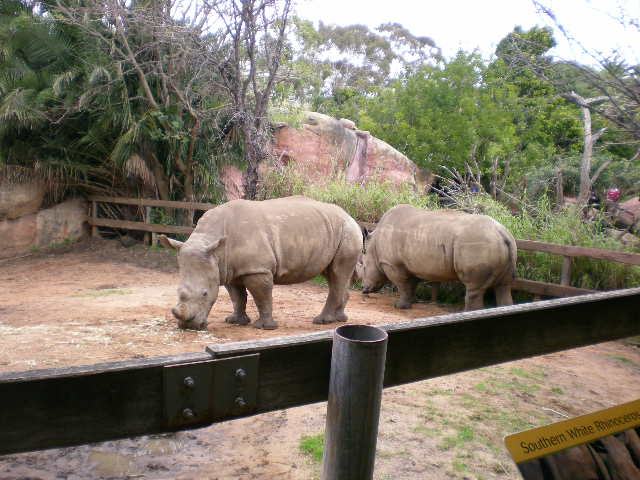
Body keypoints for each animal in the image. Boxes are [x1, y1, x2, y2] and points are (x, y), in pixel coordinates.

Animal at [160, 196, 363, 330]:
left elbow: (262, 297)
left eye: (204, 294)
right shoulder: (228, 269)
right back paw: (340, 319)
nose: (188, 326)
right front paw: (235, 321)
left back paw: (322, 321)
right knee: (334, 275)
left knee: (337, 274)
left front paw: (264, 327)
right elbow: (237, 297)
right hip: (333, 230)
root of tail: (351, 217)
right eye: (178, 292)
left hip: (347, 231)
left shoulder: (257, 269)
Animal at [360, 205, 517, 310]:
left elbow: (402, 284)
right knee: (504, 285)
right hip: (506, 246)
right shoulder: (411, 263)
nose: (364, 290)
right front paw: (412, 302)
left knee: (474, 288)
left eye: (363, 266)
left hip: (478, 244)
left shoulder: (393, 264)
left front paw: (399, 306)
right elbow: (412, 284)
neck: (373, 246)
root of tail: (502, 233)